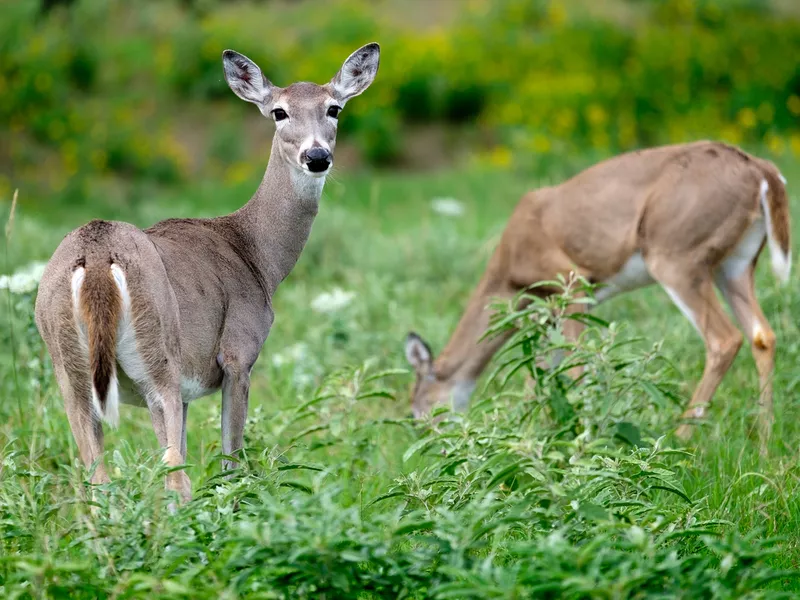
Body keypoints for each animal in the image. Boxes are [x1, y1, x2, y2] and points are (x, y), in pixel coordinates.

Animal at [34, 41, 378, 502]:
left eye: (334, 108)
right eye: (279, 112)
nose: (317, 156)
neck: (257, 256)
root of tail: (97, 256)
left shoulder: (186, 391)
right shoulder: (237, 353)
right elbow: (231, 462)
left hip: (70, 371)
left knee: (96, 479)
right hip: (157, 356)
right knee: (173, 475)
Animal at [404, 139, 792, 450]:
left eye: (417, 411)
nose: (433, 446)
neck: (508, 271)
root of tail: (762, 171)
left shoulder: (571, 281)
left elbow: (575, 364)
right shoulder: (552, 306)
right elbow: (541, 371)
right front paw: (531, 433)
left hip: (676, 255)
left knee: (724, 339)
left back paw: (679, 441)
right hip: (737, 264)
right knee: (762, 335)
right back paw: (764, 443)